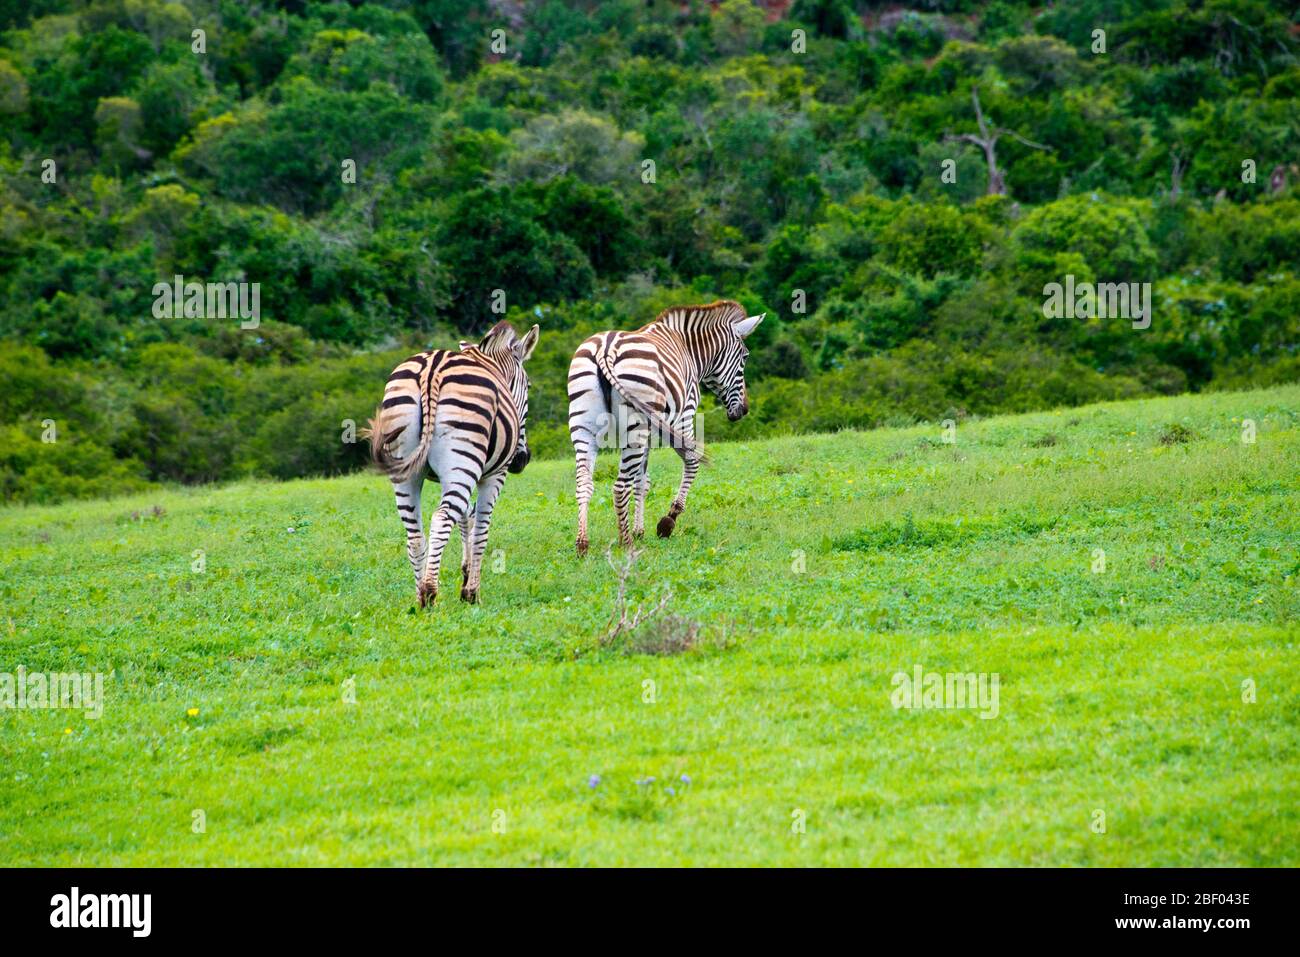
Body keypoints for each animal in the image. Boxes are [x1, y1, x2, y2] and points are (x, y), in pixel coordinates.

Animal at [369, 321, 540, 605]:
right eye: (528, 386)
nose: (521, 460)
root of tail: (431, 370)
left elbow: (465, 515)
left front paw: (465, 575)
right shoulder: (493, 475)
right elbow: (481, 528)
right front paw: (471, 593)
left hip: (408, 469)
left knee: (415, 534)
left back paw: (420, 597)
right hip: (464, 461)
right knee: (440, 518)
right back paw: (430, 593)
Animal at [566, 297, 759, 553]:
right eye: (745, 357)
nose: (743, 411)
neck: (688, 349)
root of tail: (605, 350)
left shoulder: (649, 431)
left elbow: (642, 481)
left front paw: (639, 530)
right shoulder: (685, 413)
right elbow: (692, 462)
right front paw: (668, 521)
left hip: (584, 427)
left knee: (584, 483)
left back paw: (583, 543)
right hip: (634, 429)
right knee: (619, 486)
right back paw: (626, 544)